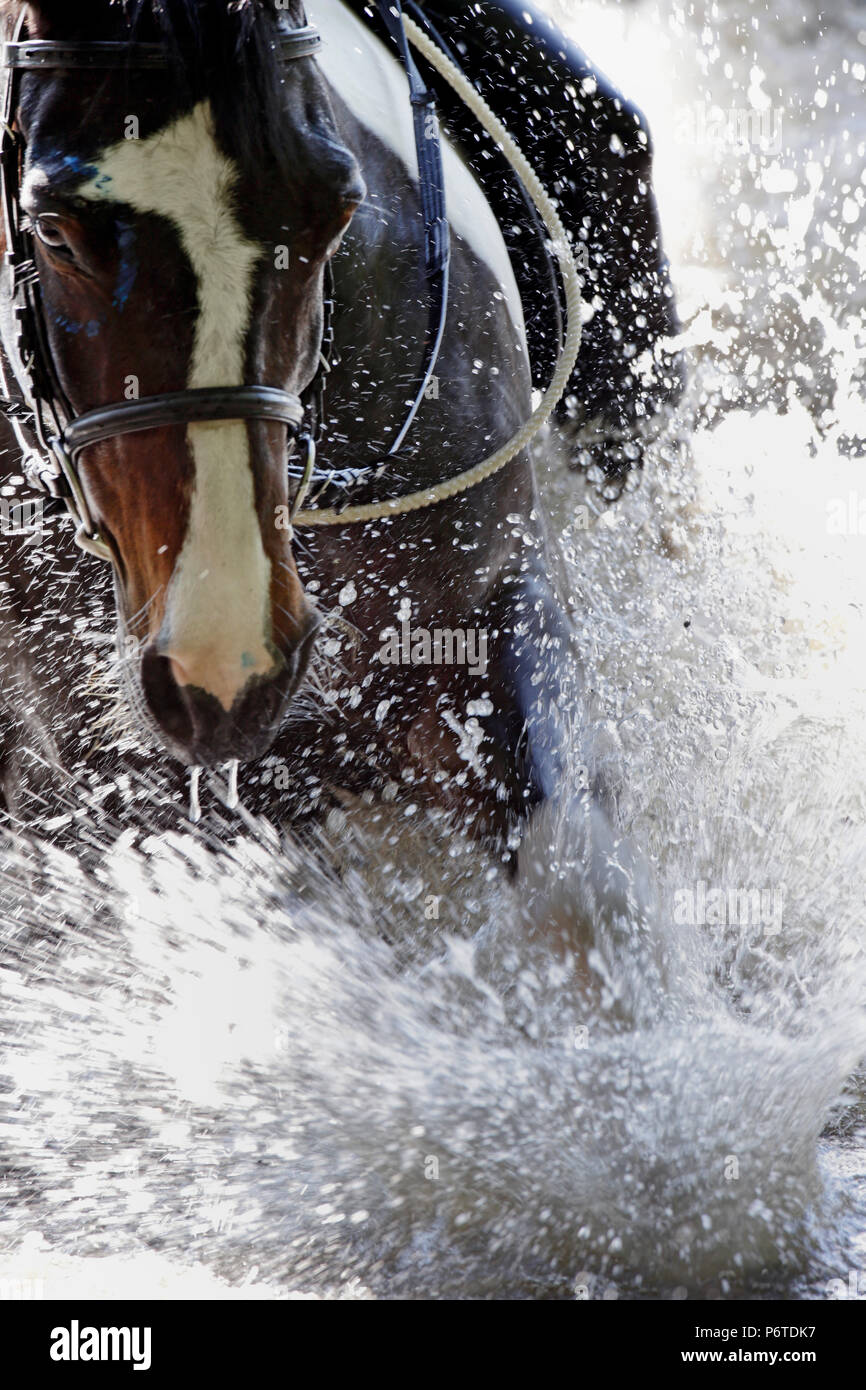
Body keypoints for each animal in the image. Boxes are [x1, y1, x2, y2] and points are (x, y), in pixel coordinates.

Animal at [0, 0, 661, 945]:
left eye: (334, 212)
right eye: (52, 231)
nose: (228, 660)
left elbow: (578, 888)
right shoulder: (113, 775)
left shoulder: (493, 605)